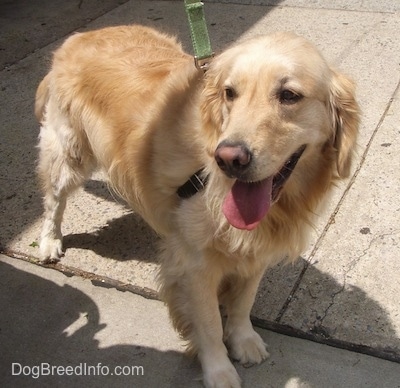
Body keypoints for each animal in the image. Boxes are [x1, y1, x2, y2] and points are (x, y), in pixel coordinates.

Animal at [34, 25, 360, 388]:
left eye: (289, 95)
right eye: (230, 93)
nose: (228, 158)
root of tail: (79, 35)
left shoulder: (256, 252)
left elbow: (243, 302)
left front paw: (244, 339)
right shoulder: (195, 265)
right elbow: (209, 324)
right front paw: (219, 369)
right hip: (68, 156)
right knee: (53, 201)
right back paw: (49, 241)